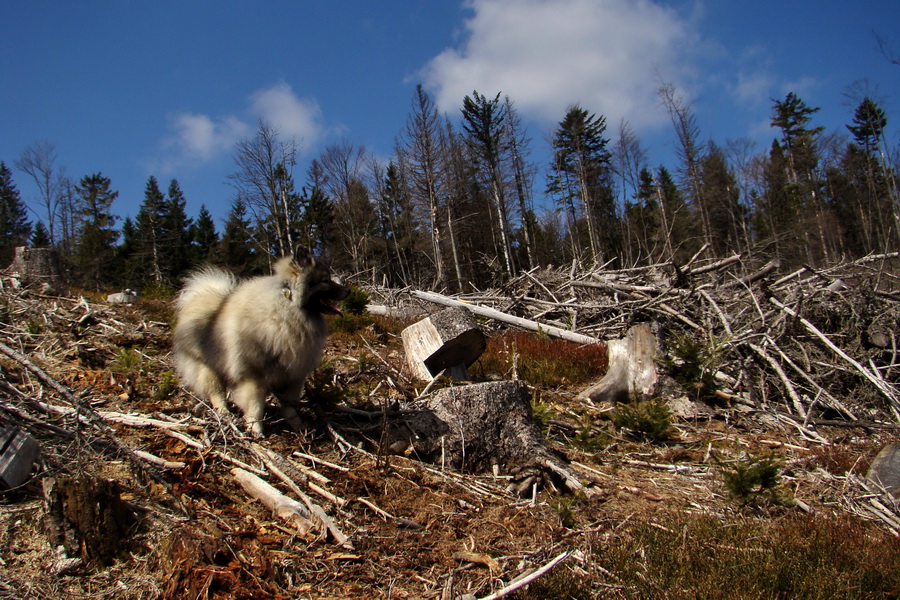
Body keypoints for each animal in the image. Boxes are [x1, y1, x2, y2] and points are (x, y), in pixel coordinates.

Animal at [172, 246, 348, 434]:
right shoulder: (253, 376)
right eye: (325, 280)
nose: (349, 290)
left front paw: (297, 425)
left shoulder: (293, 375)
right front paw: (255, 428)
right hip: (207, 368)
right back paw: (224, 412)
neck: (290, 309)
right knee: (216, 393)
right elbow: (255, 406)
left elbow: (290, 407)